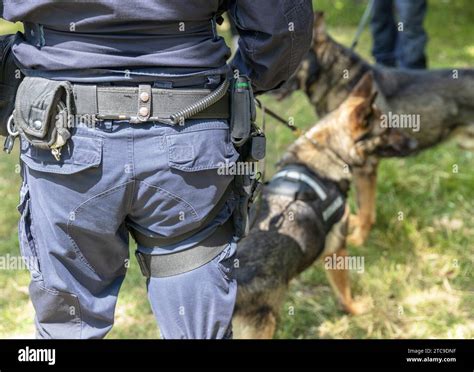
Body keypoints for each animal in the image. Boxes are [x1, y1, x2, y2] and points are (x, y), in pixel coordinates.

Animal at [233, 72, 414, 340]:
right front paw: (355, 310)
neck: (329, 151)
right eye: (387, 129)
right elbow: (344, 292)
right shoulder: (337, 251)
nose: (414, 144)